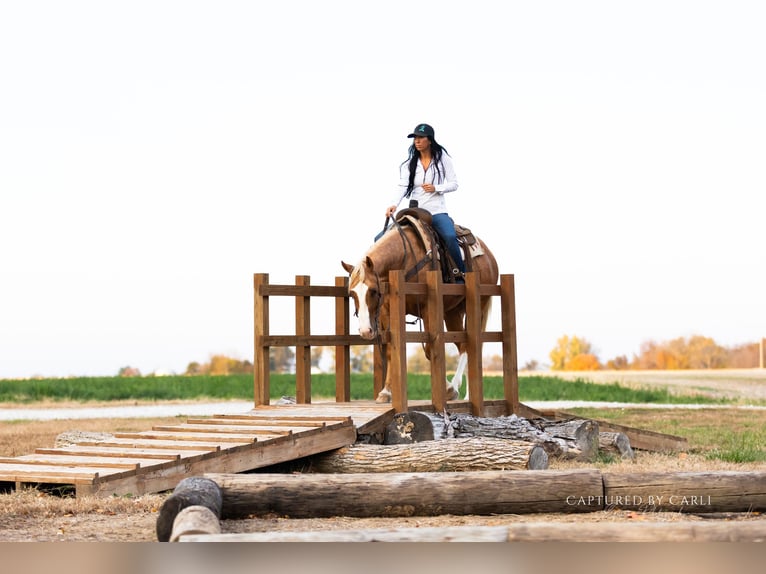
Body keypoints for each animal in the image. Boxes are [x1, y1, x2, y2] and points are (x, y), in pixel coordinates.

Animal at [341, 211, 499, 403]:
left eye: (373, 291)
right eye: (352, 294)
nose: (365, 331)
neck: (405, 259)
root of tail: (489, 255)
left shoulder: (427, 310)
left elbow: (431, 350)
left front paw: (447, 389)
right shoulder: (387, 311)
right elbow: (390, 349)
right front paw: (386, 391)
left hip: (478, 305)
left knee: (472, 344)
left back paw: (459, 388)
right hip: (452, 312)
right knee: (464, 345)